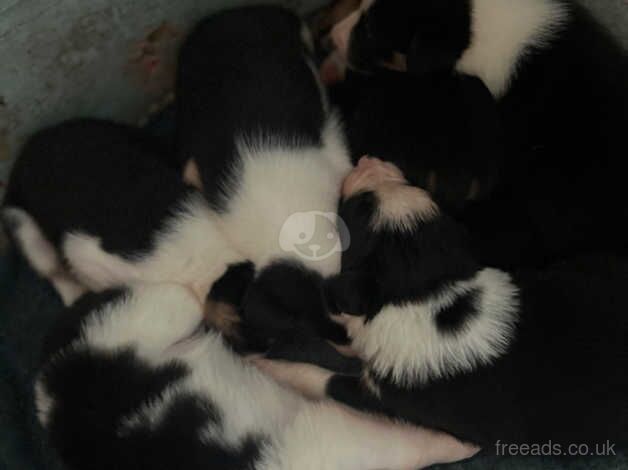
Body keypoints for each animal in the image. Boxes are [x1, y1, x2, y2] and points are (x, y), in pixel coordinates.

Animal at [254, 159, 628, 452]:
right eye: (411, 183)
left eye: (358, 211)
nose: (370, 159)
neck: (430, 293)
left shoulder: (383, 398)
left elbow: (322, 378)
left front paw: (265, 364)